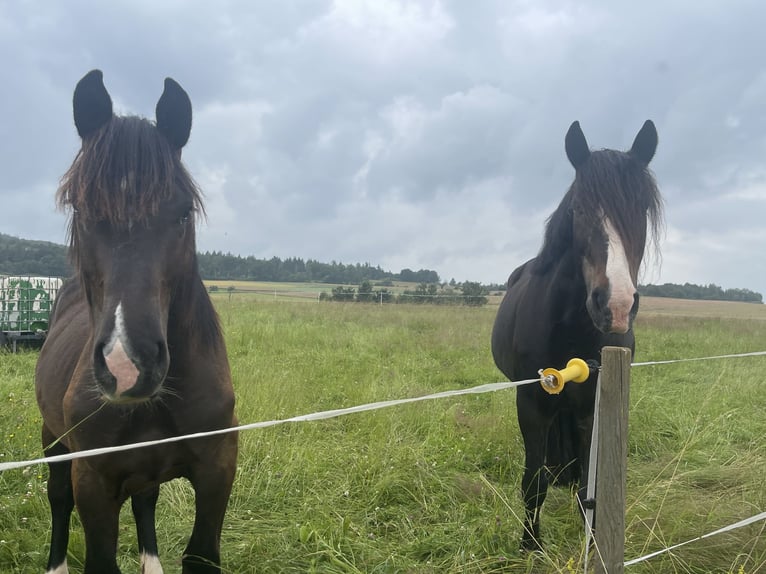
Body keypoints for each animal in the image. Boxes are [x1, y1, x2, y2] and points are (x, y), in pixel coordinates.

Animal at [34, 70, 238, 572]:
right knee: (58, 499)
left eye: (183, 212)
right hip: (54, 441)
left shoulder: (218, 466)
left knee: (145, 500)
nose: (127, 365)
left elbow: (200, 554)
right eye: (81, 210)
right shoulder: (94, 477)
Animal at [496, 119, 664, 552]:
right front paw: (530, 545)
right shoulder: (532, 401)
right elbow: (533, 481)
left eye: (640, 209)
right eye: (579, 210)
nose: (616, 306)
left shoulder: (594, 403)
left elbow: (592, 486)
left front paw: (592, 542)